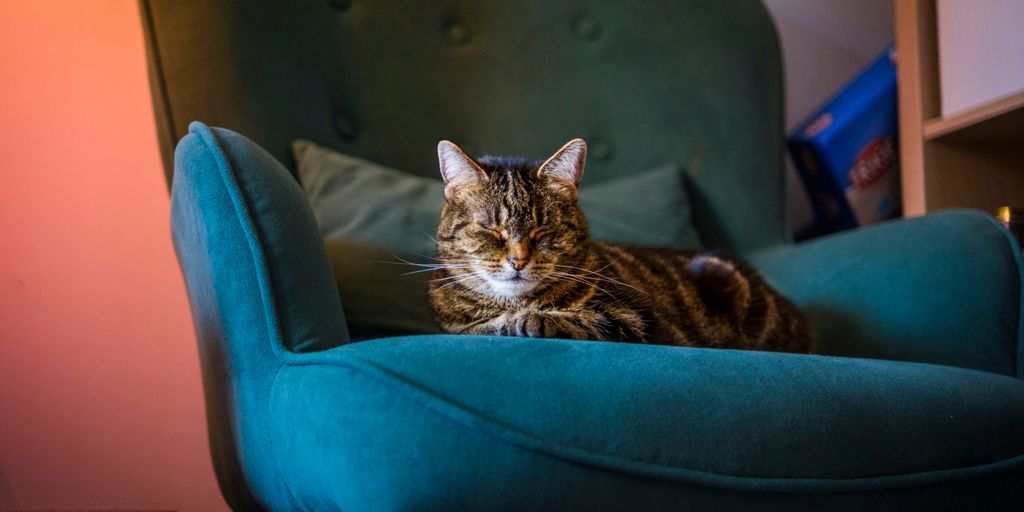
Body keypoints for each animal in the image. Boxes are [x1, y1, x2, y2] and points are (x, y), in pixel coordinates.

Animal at [423, 137, 815, 352]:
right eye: (491, 230)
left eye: (543, 230)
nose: (518, 261)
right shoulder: (453, 326)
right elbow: (477, 327)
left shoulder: (641, 321)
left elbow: (585, 321)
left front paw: (532, 320)